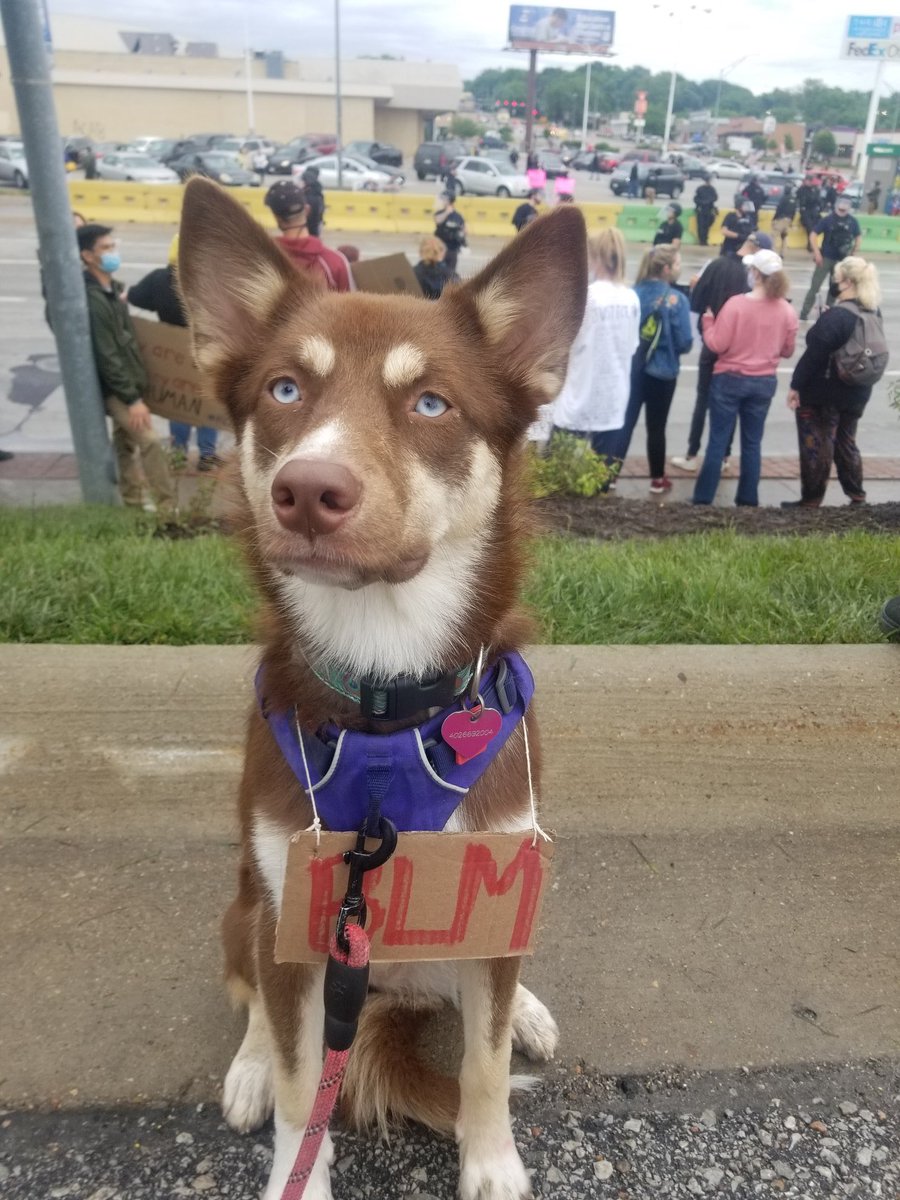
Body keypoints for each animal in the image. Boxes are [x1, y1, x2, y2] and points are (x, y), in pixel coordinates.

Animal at [178, 180, 588, 1200]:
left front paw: (492, 1164)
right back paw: (246, 1066)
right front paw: (297, 1162)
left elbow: (484, 1062)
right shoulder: (296, 914)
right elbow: (300, 1086)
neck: (384, 695)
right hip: (245, 907)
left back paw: (529, 1005)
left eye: (432, 403)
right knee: (253, 996)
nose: (307, 490)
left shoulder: (493, 880)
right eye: (285, 390)